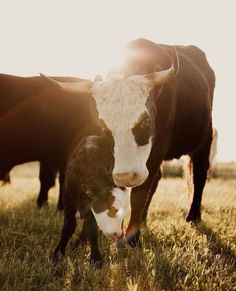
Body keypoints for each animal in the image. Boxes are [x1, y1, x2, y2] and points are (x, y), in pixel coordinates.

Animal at [42, 38, 216, 246]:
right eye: (103, 126)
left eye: (145, 120)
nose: (126, 175)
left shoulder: (157, 149)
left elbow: (140, 193)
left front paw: (132, 238)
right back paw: (144, 217)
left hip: (205, 138)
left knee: (199, 175)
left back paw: (193, 216)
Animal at [52, 133, 130, 268]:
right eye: (112, 209)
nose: (118, 234)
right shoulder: (69, 206)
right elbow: (68, 228)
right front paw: (57, 255)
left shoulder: (92, 212)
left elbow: (92, 230)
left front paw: (95, 260)